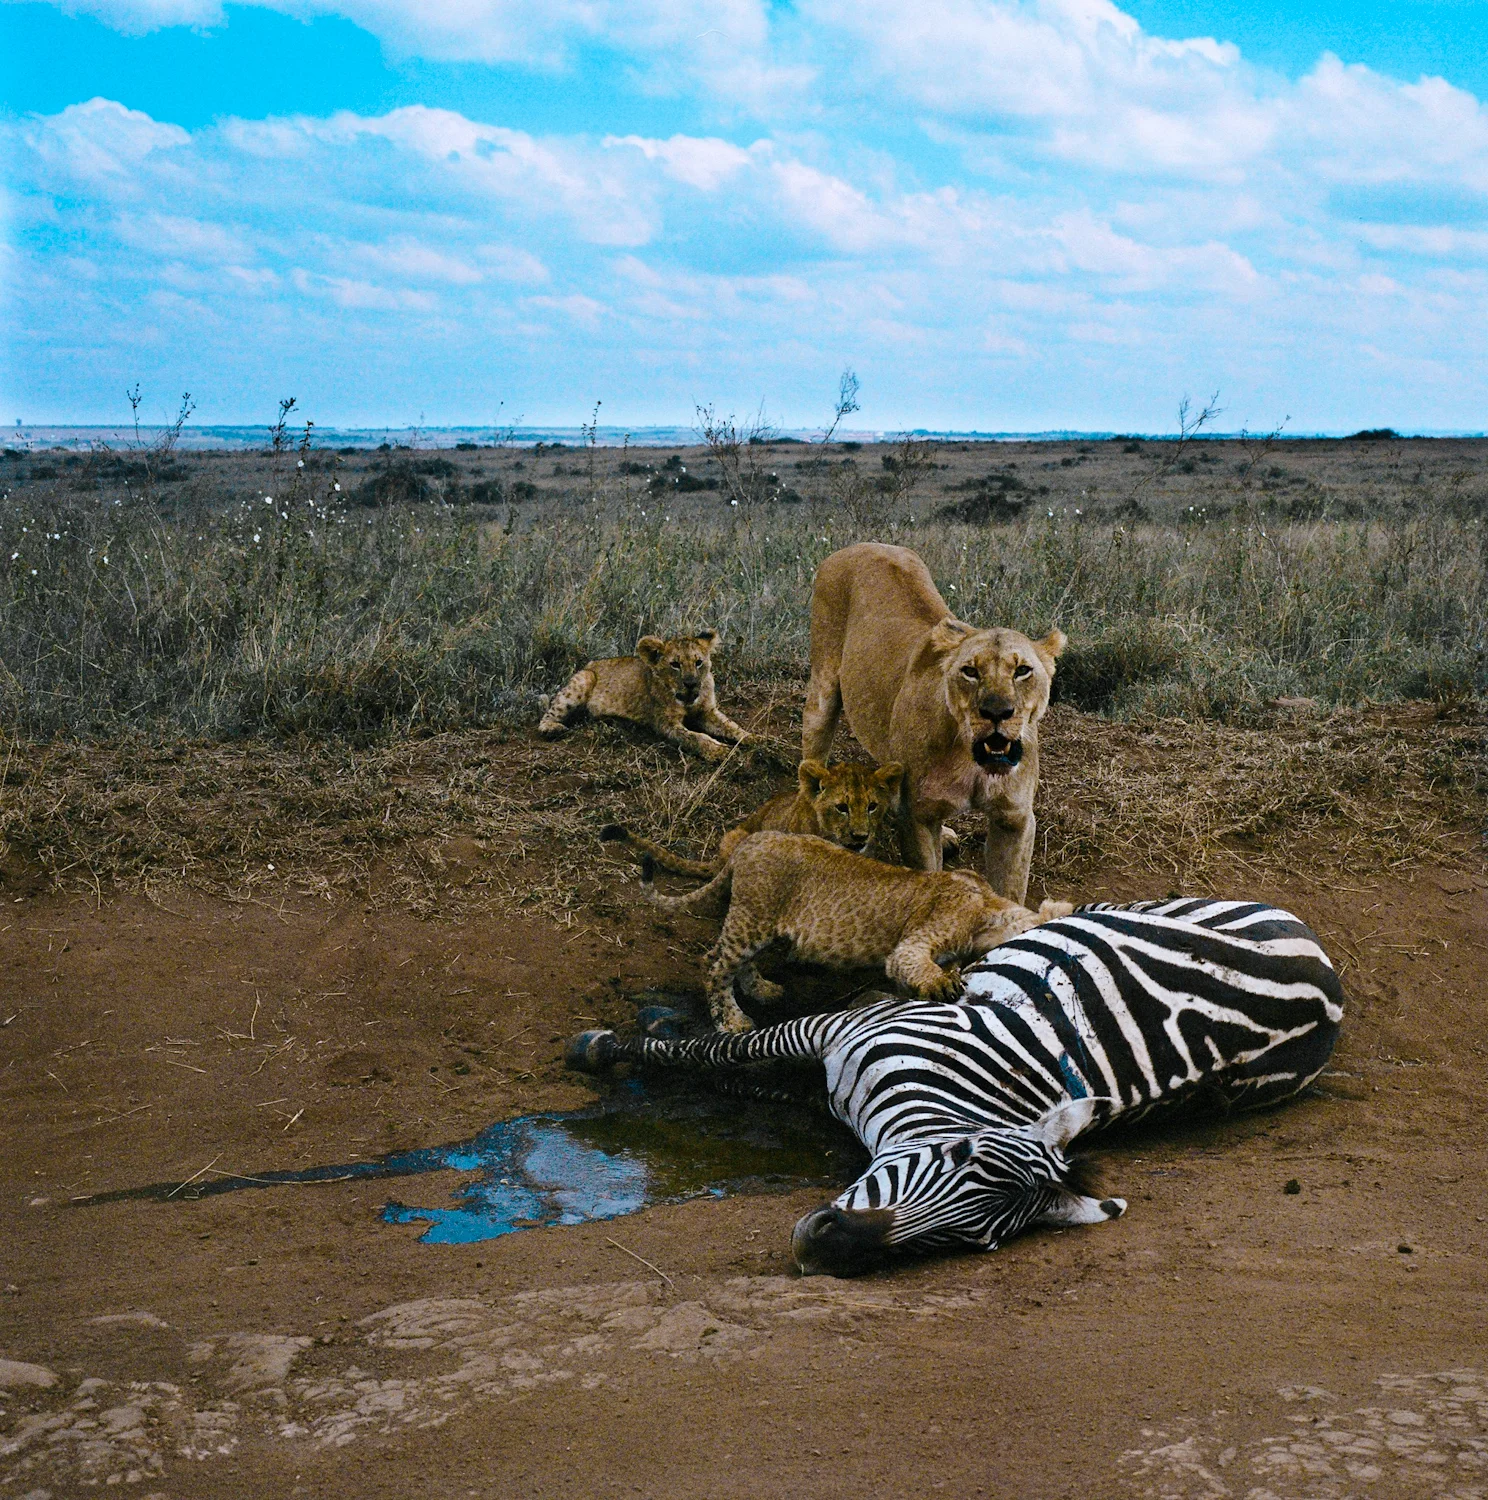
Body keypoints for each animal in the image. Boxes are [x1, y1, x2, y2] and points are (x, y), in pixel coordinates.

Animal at [537, 629, 749, 762]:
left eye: (698, 662)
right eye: (675, 664)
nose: (690, 684)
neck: (686, 701)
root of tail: (590, 664)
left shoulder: (707, 712)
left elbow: (732, 727)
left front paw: (755, 740)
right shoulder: (666, 724)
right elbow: (695, 738)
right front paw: (719, 751)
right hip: (583, 680)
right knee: (549, 714)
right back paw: (552, 729)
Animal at [635, 829, 1073, 1032]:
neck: (987, 903)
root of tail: (751, 840)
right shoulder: (918, 939)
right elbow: (913, 961)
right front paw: (942, 983)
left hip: (764, 924)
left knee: (740, 963)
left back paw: (763, 990)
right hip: (751, 917)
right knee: (714, 963)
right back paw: (732, 1021)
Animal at [802, 542, 1065, 904]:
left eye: (1022, 670)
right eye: (970, 671)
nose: (997, 711)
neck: (971, 761)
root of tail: (861, 544)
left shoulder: (1015, 819)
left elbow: (1010, 889)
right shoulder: (917, 817)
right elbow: (928, 874)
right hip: (823, 688)